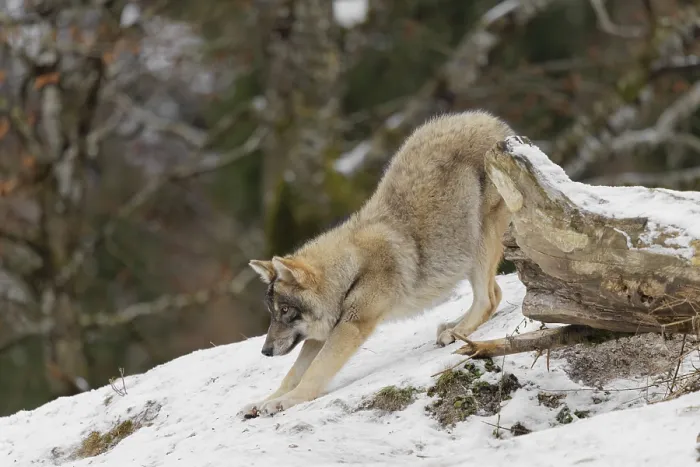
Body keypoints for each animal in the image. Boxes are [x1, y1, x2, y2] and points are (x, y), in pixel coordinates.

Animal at [239, 110, 514, 418]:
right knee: (496, 293)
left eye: (285, 310)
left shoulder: (350, 326)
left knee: (488, 298)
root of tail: (490, 121)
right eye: (272, 313)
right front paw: (264, 401)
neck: (350, 271)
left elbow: (313, 373)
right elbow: (293, 374)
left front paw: (287, 402)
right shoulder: (320, 335)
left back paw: (456, 332)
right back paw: (453, 327)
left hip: (478, 244)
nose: (265, 351)